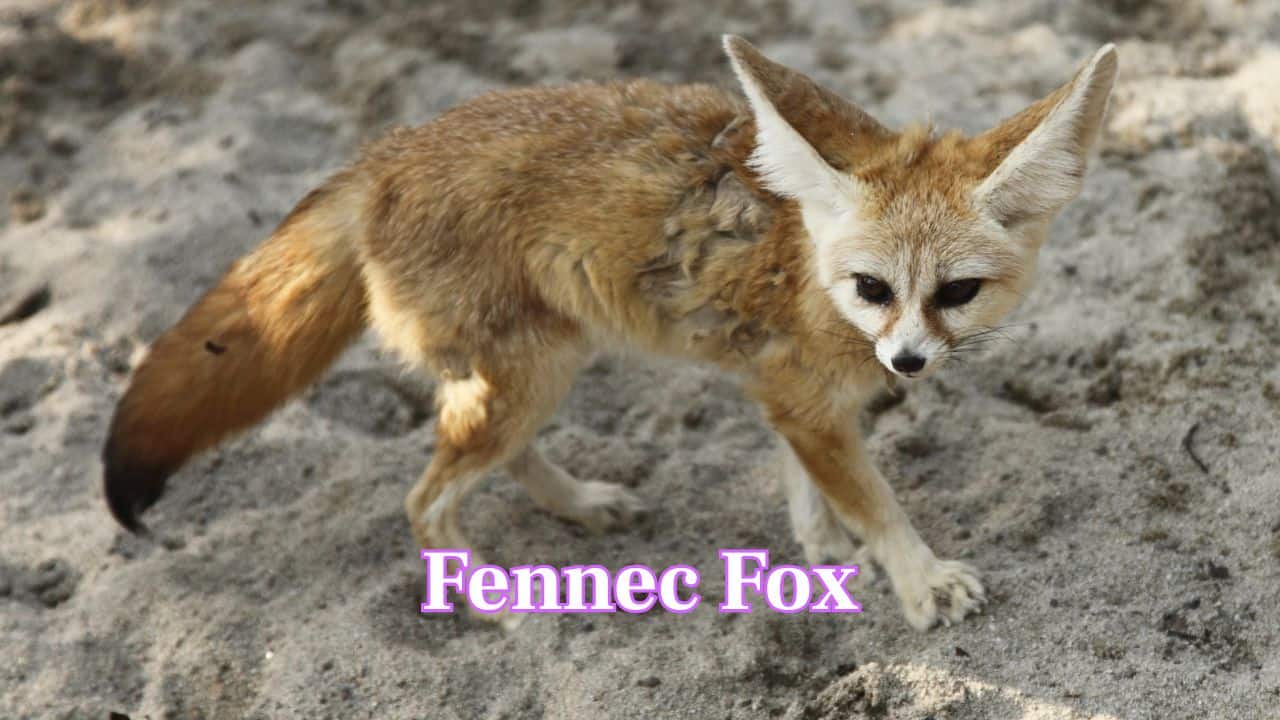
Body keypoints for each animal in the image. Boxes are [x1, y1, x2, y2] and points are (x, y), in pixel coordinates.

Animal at [102, 36, 1118, 631]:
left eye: (957, 292)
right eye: (872, 288)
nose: (906, 362)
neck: (807, 264)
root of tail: (383, 155)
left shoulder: (790, 397)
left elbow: (812, 482)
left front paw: (823, 552)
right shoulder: (802, 395)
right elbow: (876, 499)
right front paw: (917, 578)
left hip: (537, 369)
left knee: (488, 460)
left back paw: (582, 503)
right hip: (532, 375)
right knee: (426, 503)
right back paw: (501, 602)